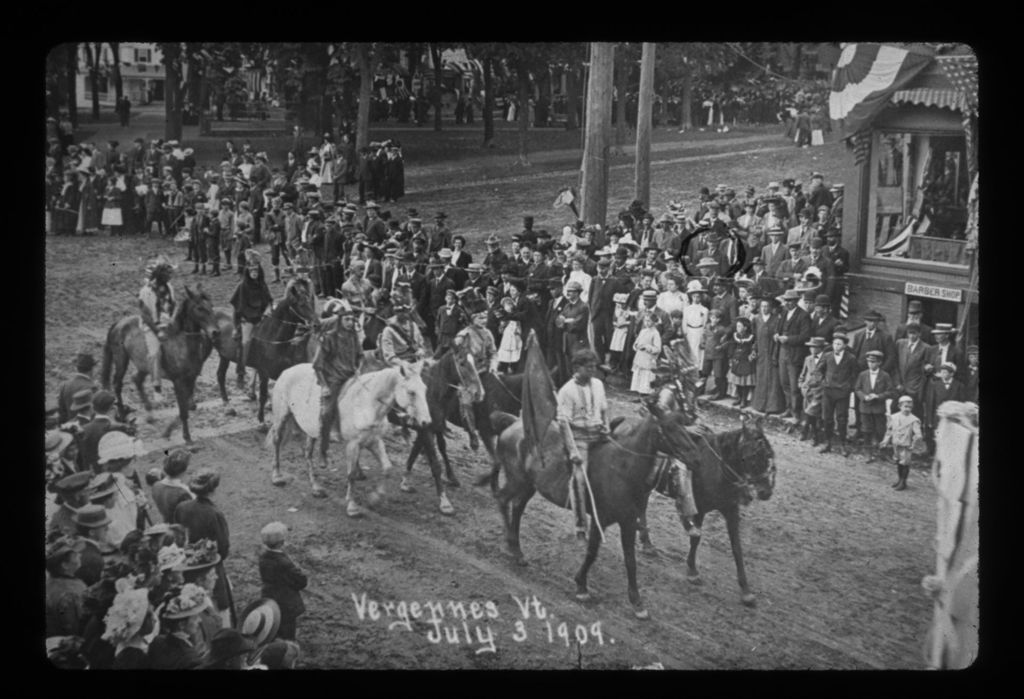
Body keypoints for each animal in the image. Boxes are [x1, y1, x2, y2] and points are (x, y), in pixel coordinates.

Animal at [101, 284, 220, 442]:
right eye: (199, 308)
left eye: (211, 306)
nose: (215, 332)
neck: (183, 343)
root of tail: (118, 324)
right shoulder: (178, 381)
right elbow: (183, 409)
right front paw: (186, 436)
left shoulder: (191, 379)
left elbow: (188, 406)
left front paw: (168, 431)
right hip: (121, 358)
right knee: (117, 383)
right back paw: (122, 415)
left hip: (144, 365)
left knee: (137, 380)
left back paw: (150, 415)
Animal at [264, 364, 432, 515]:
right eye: (411, 392)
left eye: (425, 390)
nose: (427, 422)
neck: (366, 403)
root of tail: (286, 371)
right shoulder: (352, 445)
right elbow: (351, 474)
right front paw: (352, 506)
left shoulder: (374, 441)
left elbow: (387, 468)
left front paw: (375, 499)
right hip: (281, 417)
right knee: (277, 442)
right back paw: (277, 477)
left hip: (311, 431)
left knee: (307, 454)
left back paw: (316, 488)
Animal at [479, 401, 704, 622]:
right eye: (667, 427)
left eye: (684, 425)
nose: (695, 457)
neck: (622, 467)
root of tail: (513, 424)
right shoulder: (600, 519)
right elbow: (592, 552)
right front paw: (581, 586)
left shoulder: (629, 521)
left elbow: (630, 561)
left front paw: (637, 603)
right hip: (517, 480)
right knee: (502, 499)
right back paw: (510, 545)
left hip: (529, 485)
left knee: (517, 507)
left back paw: (517, 550)